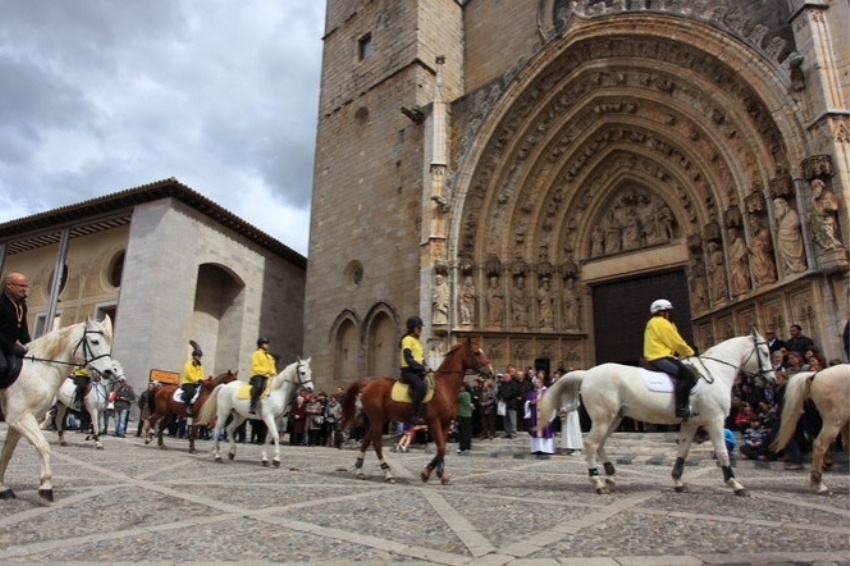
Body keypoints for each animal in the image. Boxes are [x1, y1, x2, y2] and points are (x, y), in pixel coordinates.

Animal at [0, 318, 116, 504]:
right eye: (95, 341)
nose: (108, 372)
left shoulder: (17, 422)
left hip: (61, 406)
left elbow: (7, 453)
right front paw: (46, 487)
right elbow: (43, 445)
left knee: (59, 421)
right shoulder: (20, 417)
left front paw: (2, 488)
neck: (39, 369)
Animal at [340, 340, 490, 486]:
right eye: (476, 353)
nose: (490, 373)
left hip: (381, 419)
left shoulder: (446, 423)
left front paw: (441, 475)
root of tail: (368, 384)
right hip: (376, 419)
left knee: (366, 441)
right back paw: (388, 474)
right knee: (377, 444)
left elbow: (442, 448)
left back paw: (359, 471)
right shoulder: (433, 421)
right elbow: (441, 448)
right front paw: (426, 473)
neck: (444, 387)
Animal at [540, 332, 772, 496]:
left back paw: (611, 476)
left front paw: (678, 481)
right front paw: (736, 485)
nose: (770, 380)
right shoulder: (714, 420)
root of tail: (588, 373)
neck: (714, 374)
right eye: (765, 353)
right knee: (591, 444)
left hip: (614, 417)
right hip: (604, 417)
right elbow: (722, 452)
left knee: (600, 444)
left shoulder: (690, 423)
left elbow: (683, 451)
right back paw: (598, 482)